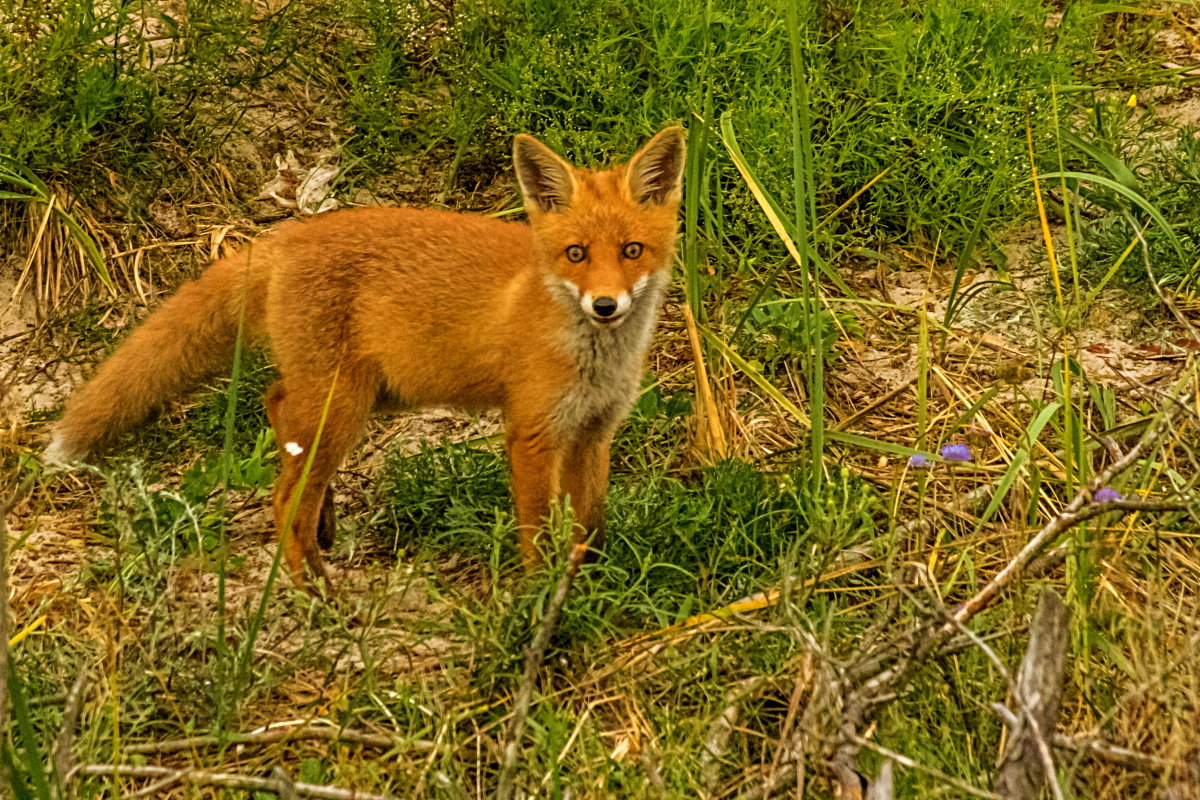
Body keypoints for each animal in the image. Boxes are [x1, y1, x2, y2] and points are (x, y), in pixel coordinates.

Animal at [44, 126, 686, 587]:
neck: (593, 359)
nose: (605, 305)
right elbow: (537, 533)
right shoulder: (532, 433)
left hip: (361, 396)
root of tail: (282, 237)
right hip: (345, 407)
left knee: (277, 406)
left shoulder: (594, 432)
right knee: (284, 497)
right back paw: (313, 590)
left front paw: (589, 591)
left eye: (632, 251)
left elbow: (590, 526)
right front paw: (537, 599)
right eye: (576, 254)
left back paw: (323, 529)